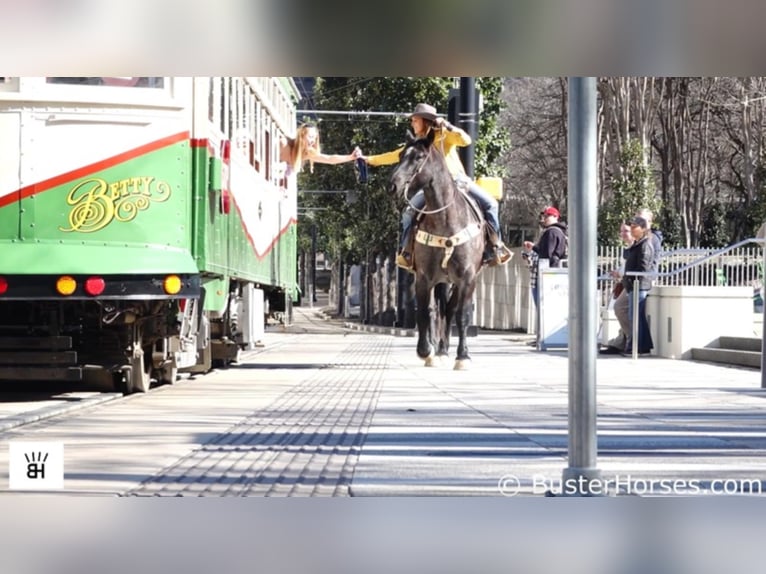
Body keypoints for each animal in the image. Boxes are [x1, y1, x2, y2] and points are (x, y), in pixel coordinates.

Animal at [392, 130, 484, 372]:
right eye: (400, 155)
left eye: (418, 157)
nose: (393, 185)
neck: (446, 220)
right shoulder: (424, 277)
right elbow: (425, 313)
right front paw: (426, 351)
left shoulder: (468, 277)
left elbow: (462, 315)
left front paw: (463, 356)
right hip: (442, 279)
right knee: (441, 310)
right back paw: (440, 351)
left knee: (451, 311)